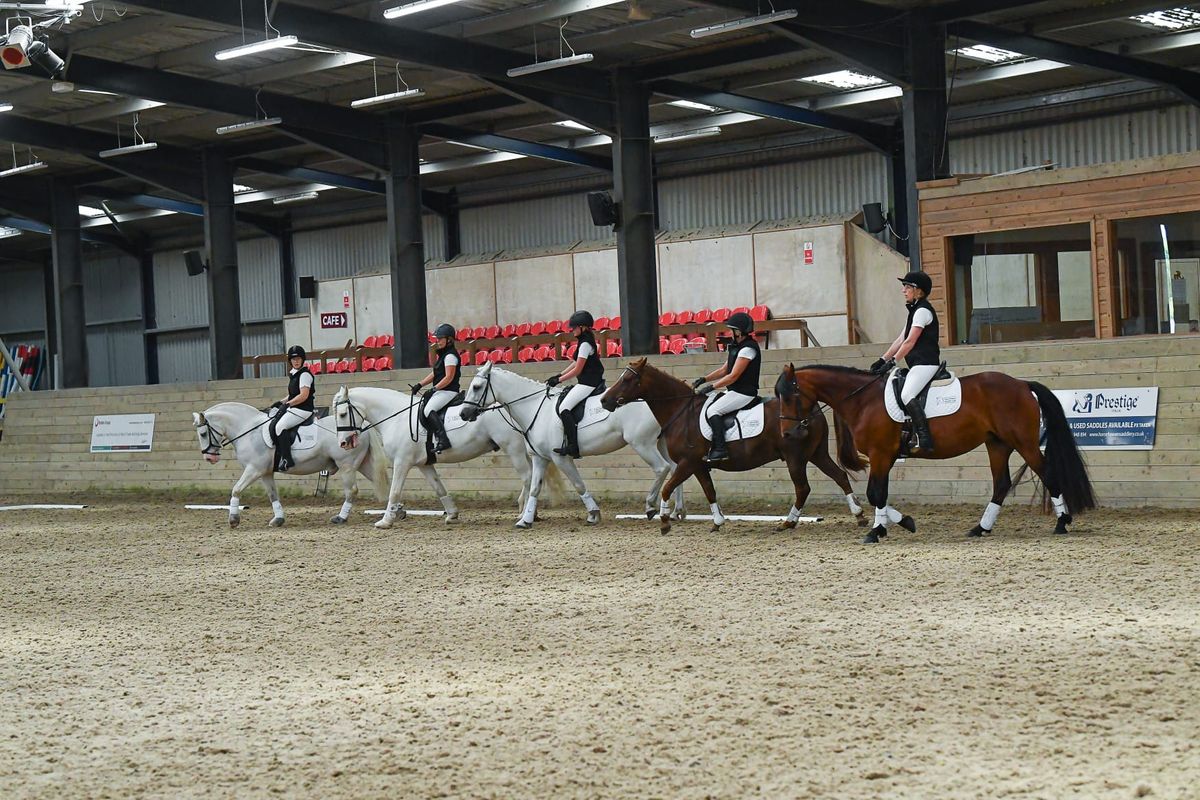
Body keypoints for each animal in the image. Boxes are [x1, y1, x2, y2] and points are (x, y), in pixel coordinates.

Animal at [193, 402, 384, 527]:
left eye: (203, 434)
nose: (209, 458)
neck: (248, 429)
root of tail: (360, 427)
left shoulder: (254, 470)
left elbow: (236, 489)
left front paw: (233, 519)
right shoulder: (265, 473)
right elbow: (273, 495)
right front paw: (278, 519)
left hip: (347, 465)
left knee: (352, 491)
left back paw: (341, 518)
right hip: (363, 464)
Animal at [331, 383, 549, 527]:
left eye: (342, 414)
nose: (343, 443)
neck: (396, 417)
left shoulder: (402, 462)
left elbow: (394, 491)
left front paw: (385, 521)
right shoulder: (424, 464)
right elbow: (439, 488)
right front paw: (452, 514)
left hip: (513, 449)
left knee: (528, 478)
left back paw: (525, 514)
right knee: (533, 478)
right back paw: (531, 513)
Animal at [460, 364, 686, 532]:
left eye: (477, 387)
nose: (464, 413)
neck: (535, 408)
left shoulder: (560, 458)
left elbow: (578, 485)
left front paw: (593, 514)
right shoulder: (540, 458)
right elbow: (534, 488)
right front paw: (525, 520)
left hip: (642, 443)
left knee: (662, 468)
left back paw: (651, 507)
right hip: (659, 442)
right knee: (676, 469)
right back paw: (676, 511)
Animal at [597, 357, 864, 534]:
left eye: (628, 379)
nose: (604, 400)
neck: (681, 412)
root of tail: (813, 409)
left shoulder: (687, 462)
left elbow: (667, 488)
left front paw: (663, 520)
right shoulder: (699, 466)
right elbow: (709, 491)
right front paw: (717, 522)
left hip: (794, 457)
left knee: (803, 488)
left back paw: (789, 522)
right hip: (816, 454)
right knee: (839, 475)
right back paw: (859, 515)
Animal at [772, 364, 1094, 544]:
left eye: (790, 395)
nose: (786, 434)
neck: (863, 400)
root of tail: (1022, 385)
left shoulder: (880, 454)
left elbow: (876, 494)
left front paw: (877, 531)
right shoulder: (886, 457)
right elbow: (879, 495)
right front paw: (899, 523)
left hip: (1023, 443)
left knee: (1048, 473)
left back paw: (1062, 523)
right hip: (997, 444)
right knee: (1001, 484)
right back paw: (980, 528)